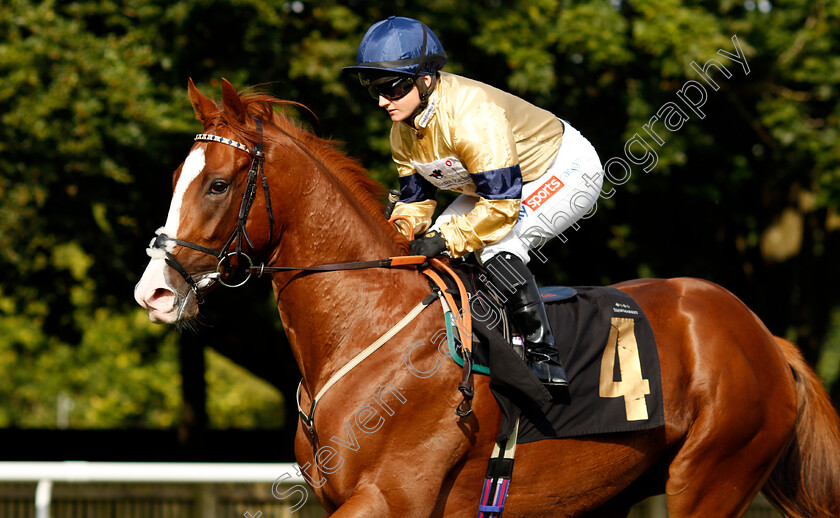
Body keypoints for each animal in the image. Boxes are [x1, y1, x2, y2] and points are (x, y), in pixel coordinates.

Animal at [133, 79, 840, 516]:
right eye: (175, 178)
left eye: (218, 184)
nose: (155, 292)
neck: (368, 327)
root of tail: (764, 337)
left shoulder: (391, 497)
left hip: (712, 475)